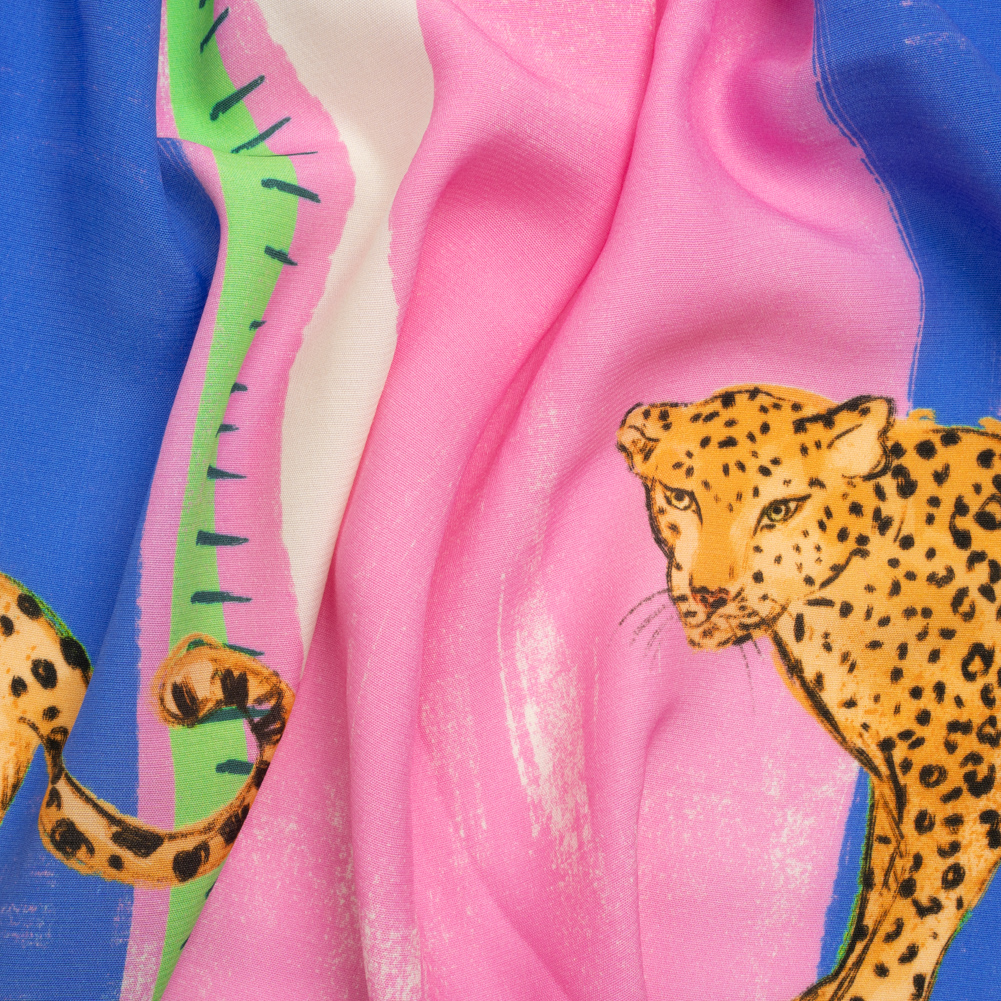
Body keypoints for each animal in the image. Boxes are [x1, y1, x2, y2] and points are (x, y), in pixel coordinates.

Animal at [618, 383, 1001, 1001]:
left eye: (780, 508)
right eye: (680, 497)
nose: (709, 595)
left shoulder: (965, 789)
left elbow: (911, 917)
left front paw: (872, 990)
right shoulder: (896, 786)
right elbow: (880, 886)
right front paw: (834, 987)